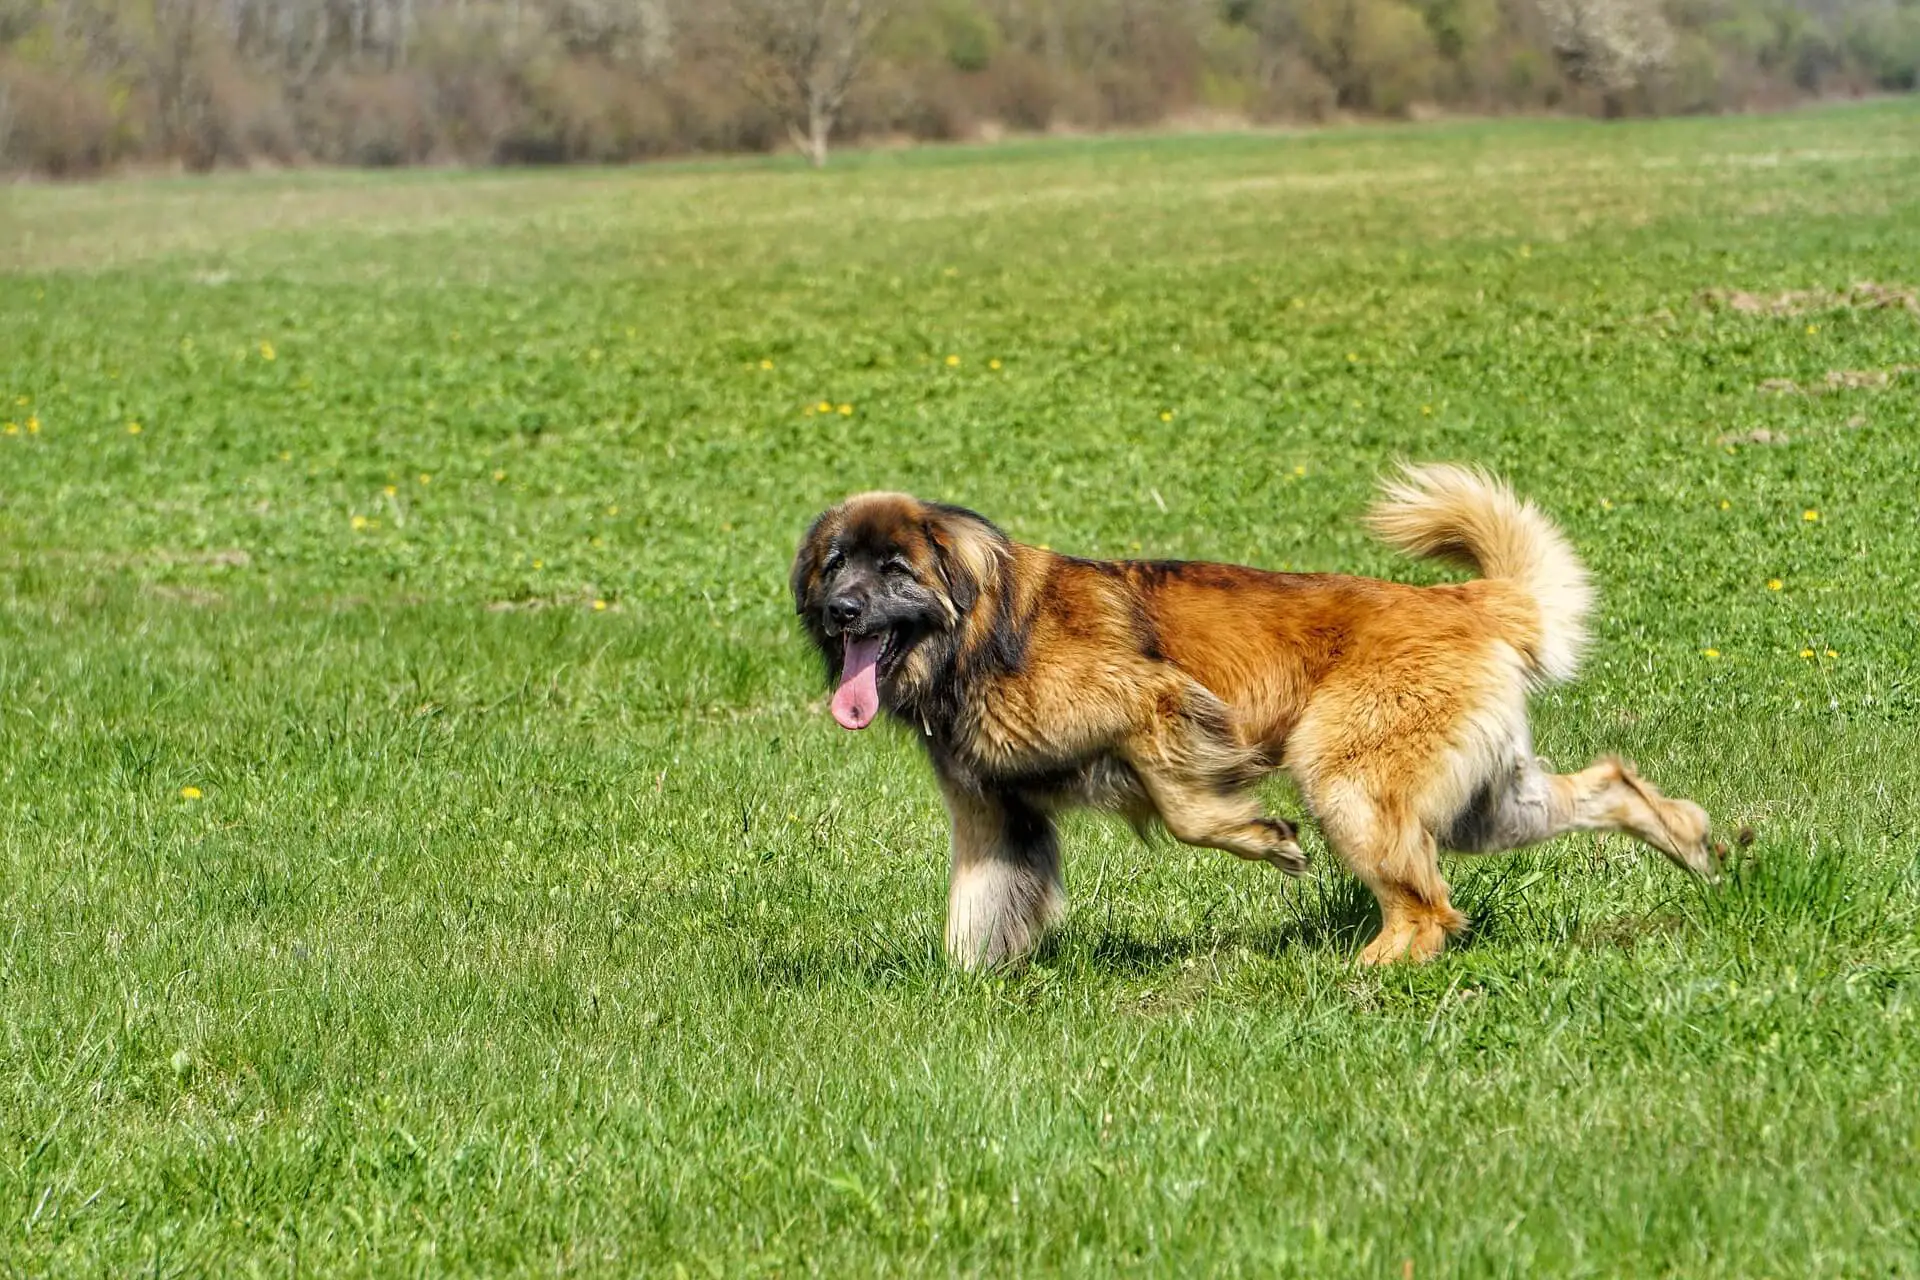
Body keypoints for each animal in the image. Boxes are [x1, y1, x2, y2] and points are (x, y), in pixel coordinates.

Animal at [787, 466, 1720, 967]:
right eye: (836, 563)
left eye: (895, 569)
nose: (839, 609)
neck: (981, 633)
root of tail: (1465, 599)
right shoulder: (993, 816)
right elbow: (976, 914)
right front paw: (963, 988)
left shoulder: (1153, 701)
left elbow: (1187, 809)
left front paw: (1264, 840)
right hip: (1483, 804)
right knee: (1607, 786)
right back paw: (1695, 846)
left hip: (1347, 781)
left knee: (1425, 908)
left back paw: (1366, 970)